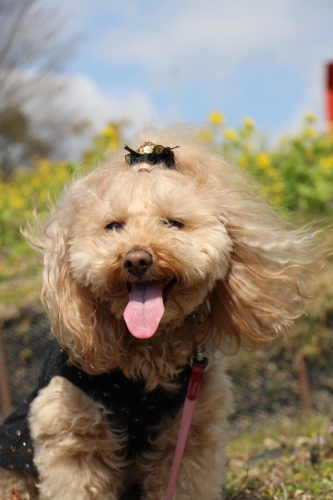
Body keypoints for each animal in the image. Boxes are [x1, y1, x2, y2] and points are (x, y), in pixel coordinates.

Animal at [0, 125, 314, 500]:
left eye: (173, 223)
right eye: (114, 226)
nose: (136, 259)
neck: (147, 353)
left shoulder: (190, 434)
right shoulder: (70, 431)